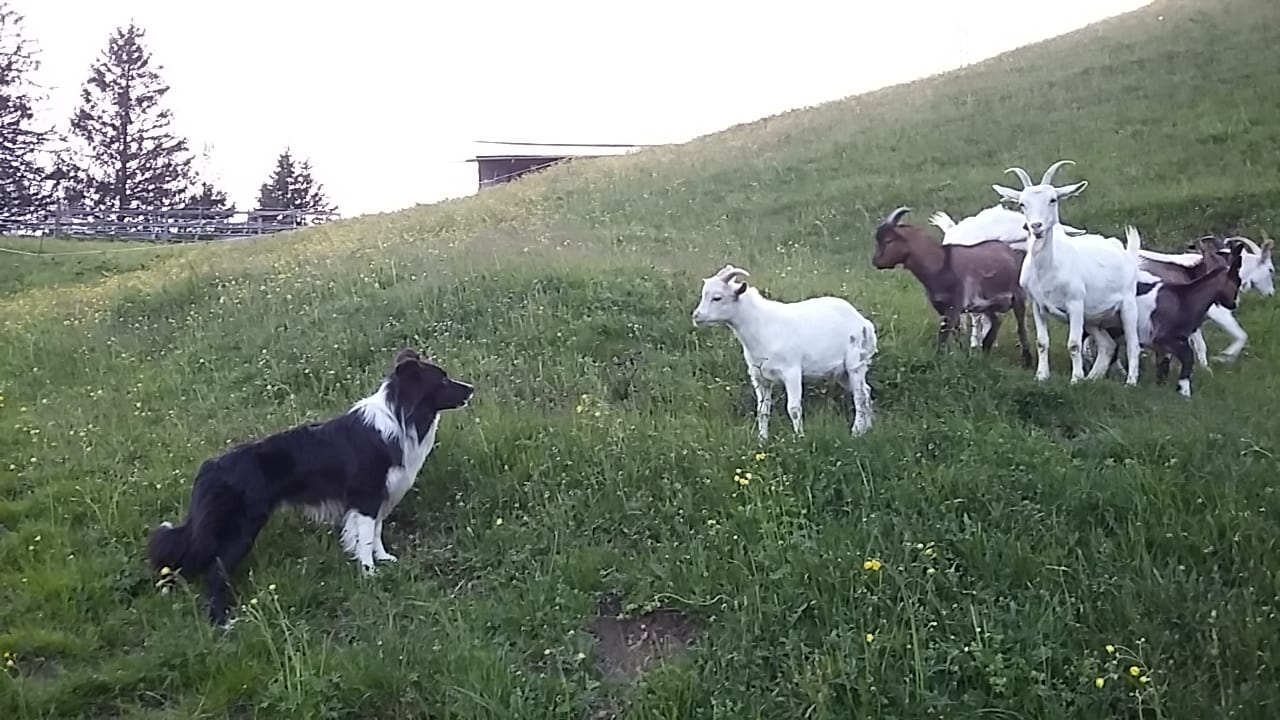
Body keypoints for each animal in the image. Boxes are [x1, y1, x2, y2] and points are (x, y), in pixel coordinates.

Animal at [146, 348, 474, 626]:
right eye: (442, 380)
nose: (471, 388)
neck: (400, 418)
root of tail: (209, 469)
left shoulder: (378, 497)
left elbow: (375, 533)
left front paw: (383, 559)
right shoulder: (366, 497)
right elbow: (367, 538)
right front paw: (370, 574)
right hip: (241, 528)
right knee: (216, 571)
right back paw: (221, 621)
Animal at [691, 264, 877, 442]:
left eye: (717, 297)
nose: (696, 316)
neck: (761, 326)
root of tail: (864, 323)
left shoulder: (792, 372)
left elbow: (793, 408)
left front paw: (799, 438)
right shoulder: (759, 376)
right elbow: (762, 410)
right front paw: (762, 440)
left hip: (856, 363)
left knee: (860, 397)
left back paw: (856, 432)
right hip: (841, 372)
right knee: (866, 391)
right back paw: (867, 429)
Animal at [872, 206, 1032, 366]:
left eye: (888, 240)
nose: (876, 262)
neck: (941, 264)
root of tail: (1009, 251)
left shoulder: (953, 306)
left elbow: (943, 335)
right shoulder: (944, 308)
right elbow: (955, 333)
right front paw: (961, 355)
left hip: (1017, 297)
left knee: (1021, 327)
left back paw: (1027, 360)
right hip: (986, 304)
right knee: (996, 321)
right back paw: (986, 349)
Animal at [991, 160, 1143, 385]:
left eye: (1053, 199)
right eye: (1022, 204)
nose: (1036, 226)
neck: (1048, 271)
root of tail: (1124, 251)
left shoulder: (1075, 304)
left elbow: (1073, 344)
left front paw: (1076, 379)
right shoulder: (1037, 305)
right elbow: (1042, 341)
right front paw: (1041, 376)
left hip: (1128, 305)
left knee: (1133, 345)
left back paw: (1130, 382)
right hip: (1094, 317)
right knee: (1107, 345)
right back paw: (1093, 378)